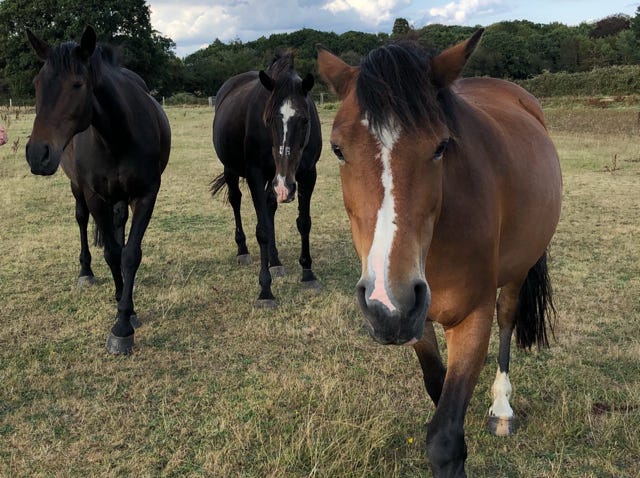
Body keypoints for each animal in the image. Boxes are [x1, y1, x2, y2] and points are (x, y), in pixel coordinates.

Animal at [25, 26, 171, 354]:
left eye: (77, 84)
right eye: (37, 83)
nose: (37, 154)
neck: (116, 136)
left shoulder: (146, 195)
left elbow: (130, 254)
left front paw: (124, 321)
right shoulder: (95, 196)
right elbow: (113, 254)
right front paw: (122, 311)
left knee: (119, 225)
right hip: (78, 188)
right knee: (81, 220)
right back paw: (86, 273)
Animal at [211, 51, 322, 307]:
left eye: (304, 120)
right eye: (269, 119)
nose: (285, 188)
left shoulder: (308, 174)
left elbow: (304, 222)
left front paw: (308, 274)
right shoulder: (256, 175)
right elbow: (261, 230)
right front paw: (265, 289)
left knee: (270, 207)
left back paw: (275, 261)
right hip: (233, 170)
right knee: (236, 200)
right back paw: (242, 250)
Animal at [317, 30, 562, 477]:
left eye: (441, 146)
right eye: (338, 149)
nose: (386, 300)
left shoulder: (472, 318)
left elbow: (445, 439)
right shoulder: (416, 320)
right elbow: (437, 387)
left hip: (517, 271)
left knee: (507, 317)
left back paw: (502, 408)